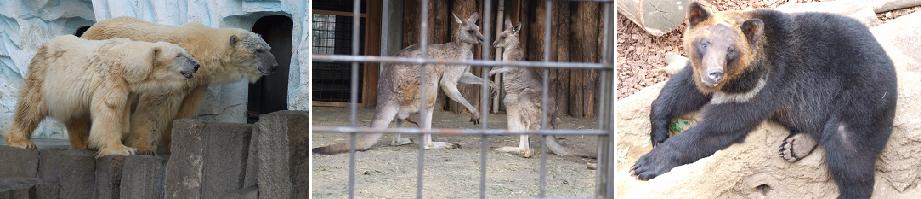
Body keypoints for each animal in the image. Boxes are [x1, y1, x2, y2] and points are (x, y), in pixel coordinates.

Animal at [3, 35, 199, 157]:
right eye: (179, 55)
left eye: (187, 53)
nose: (196, 65)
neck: (126, 63)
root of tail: (43, 46)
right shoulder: (111, 78)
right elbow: (108, 110)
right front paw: (121, 149)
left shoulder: (127, 88)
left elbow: (122, 114)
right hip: (44, 74)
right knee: (30, 104)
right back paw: (21, 141)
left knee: (76, 116)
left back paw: (84, 143)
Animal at [81, 17, 276, 154]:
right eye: (259, 50)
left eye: (268, 48)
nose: (275, 66)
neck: (201, 48)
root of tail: (88, 29)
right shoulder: (171, 72)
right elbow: (154, 108)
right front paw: (144, 147)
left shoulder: (197, 83)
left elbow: (185, 109)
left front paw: (175, 142)